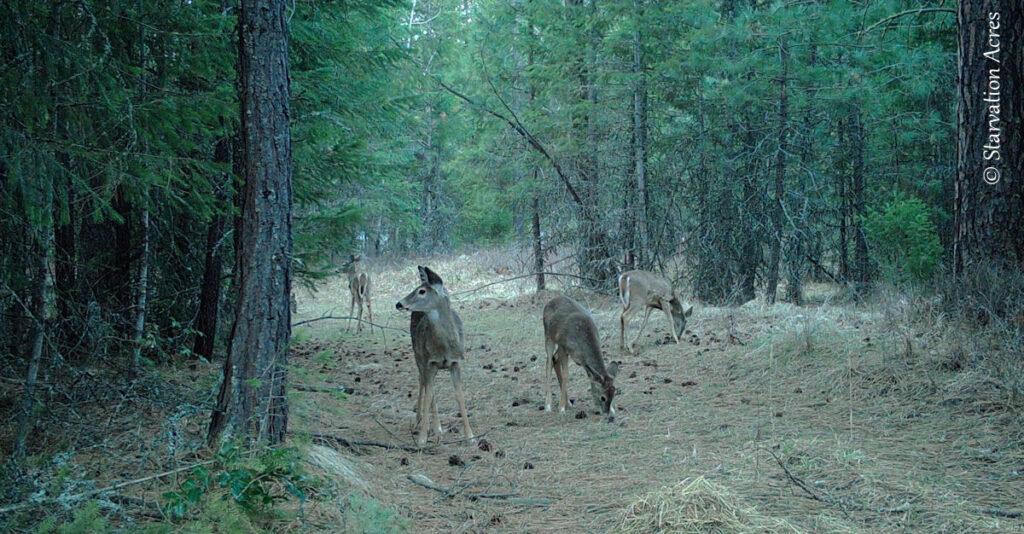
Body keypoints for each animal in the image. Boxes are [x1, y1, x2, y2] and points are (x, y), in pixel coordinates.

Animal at [393, 264, 473, 444]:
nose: (399, 303)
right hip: (418, 354)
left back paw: (436, 428)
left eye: (422, 291)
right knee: (423, 382)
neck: (444, 347)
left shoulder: (456, 361)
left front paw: (470, 435)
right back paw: (425, 423)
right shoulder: (429, 362)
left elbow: (459, 394)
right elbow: (429, 394)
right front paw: (422, 439)